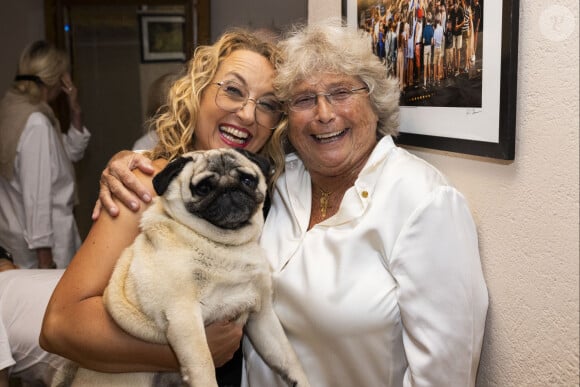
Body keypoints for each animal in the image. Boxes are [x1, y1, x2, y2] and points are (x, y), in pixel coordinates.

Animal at [65, 149, 310, 387]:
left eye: (247, 180)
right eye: (203, 188)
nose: (229, 188)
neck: (225, 245)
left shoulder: (262, 315)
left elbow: (287, 356)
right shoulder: (184, 317)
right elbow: (203, 364)